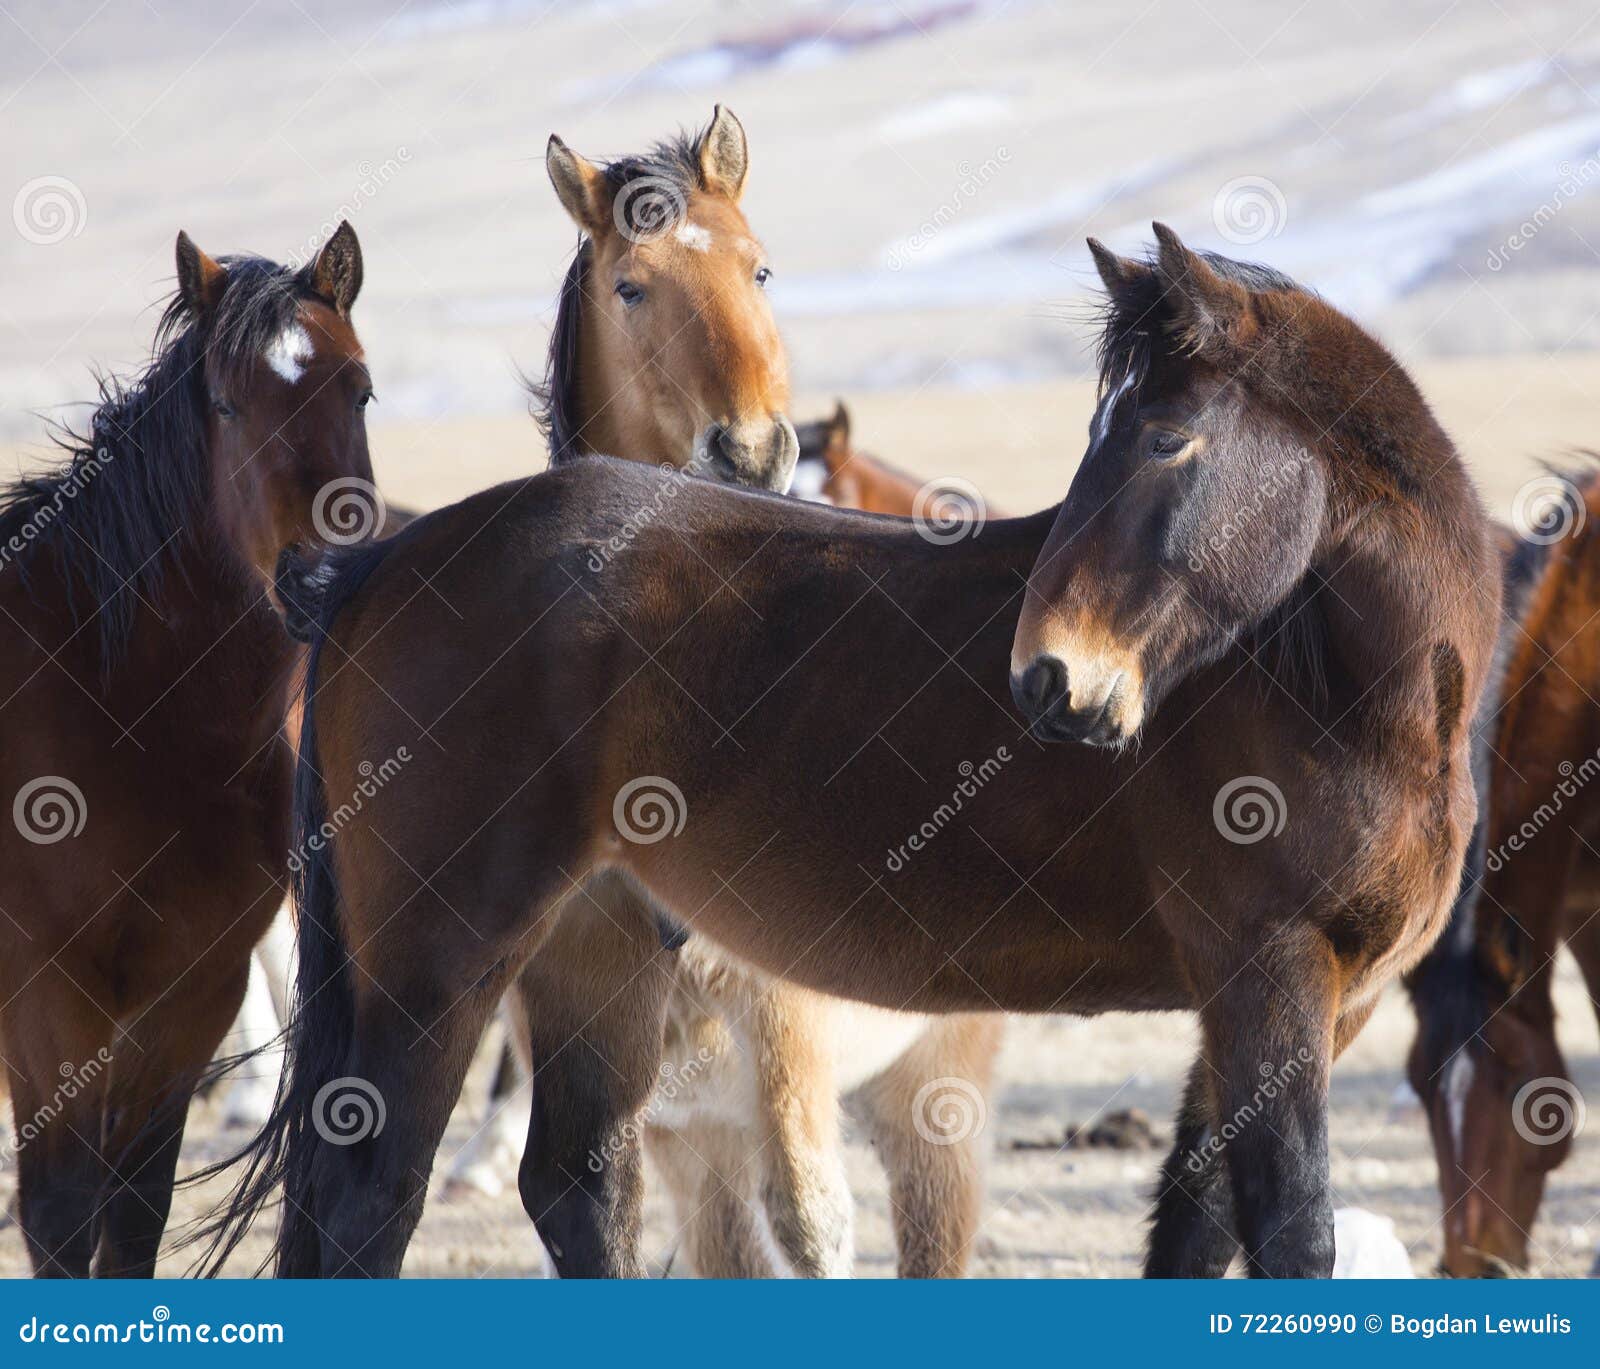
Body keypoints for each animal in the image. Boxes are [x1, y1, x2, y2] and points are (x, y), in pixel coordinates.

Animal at [0, 224, 373, 1276]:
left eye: (361, 390)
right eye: (226, 402)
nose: (320, 576)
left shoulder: (191, 999)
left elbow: (134, 1212)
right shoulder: (50, 1007)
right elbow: (61, 1215)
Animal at [211, 224, 1498, 1280]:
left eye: (1167, 437)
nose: (1048, 678)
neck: (1336, 691)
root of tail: (382, 562)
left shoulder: (1325, 1001)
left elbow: (1197, 1227)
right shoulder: (1263, 974)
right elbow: (1288, 1233)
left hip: (592, 944)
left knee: (580, 1186)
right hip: (439, 961)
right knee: (374, 1198)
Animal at [431, 107, 1004, 1278]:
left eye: (761, 266)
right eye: (630, 286)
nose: (749, 449)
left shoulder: (788, 1048)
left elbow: (816, 1227)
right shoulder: (655, 1110)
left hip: (930, 1087)